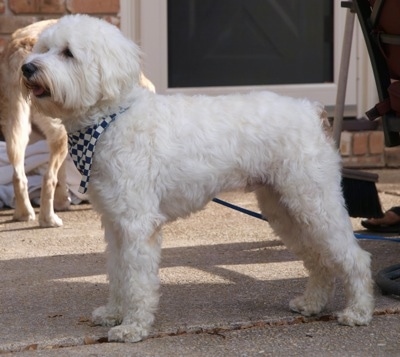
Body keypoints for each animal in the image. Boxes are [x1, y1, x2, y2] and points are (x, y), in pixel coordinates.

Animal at [21, 14, 372, 342]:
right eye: (44, 48)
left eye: (68, 53)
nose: (27, 68)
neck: (111, 120)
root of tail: (311, 110)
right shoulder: (116, 225)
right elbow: (118, 273)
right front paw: (113, 313)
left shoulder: (137, 225)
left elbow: (136, 280)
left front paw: (133, 327)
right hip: (285, 210)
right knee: (319, 259)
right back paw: (312, 303)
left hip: (315, 202)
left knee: (355, 257)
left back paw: (358, 311)